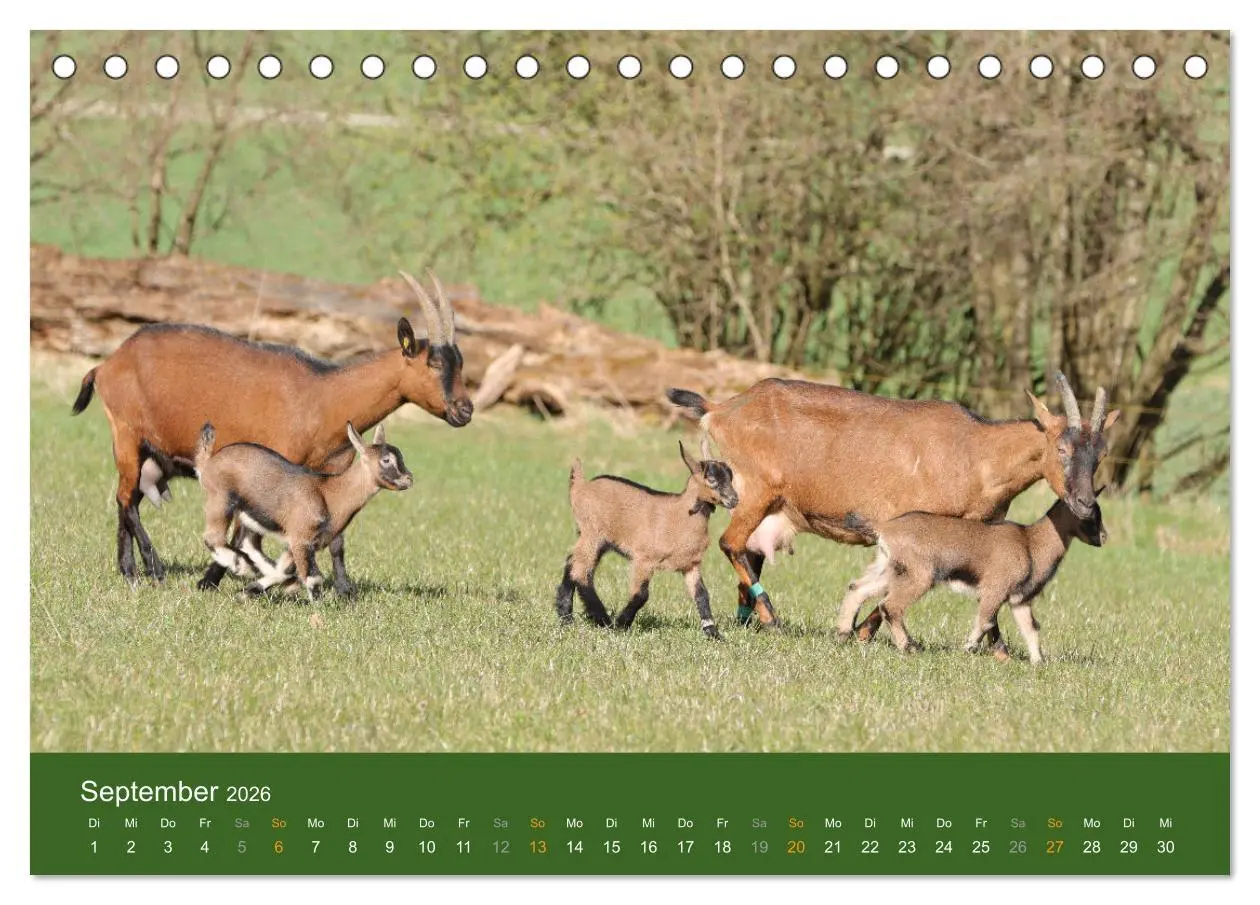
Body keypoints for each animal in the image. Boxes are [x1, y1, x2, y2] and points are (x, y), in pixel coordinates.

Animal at [194, 421, 412, 599]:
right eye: (386, 460)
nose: (408, 479)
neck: (330, 493)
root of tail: (208, 462)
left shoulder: (303, 542)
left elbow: (285, 570)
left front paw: (249, 591)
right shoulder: (301, 537)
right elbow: (313, 578)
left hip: (251, 518)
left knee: (250, 543)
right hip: (220, 501)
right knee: (213, 537)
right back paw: (241, 564)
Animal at [555, 440, 739, 639]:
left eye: (730, 477)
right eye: (711, 480)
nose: (734, 499)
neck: (680, 515)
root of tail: (581, 487)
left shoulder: (691, 565)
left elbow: (702, 594)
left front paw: (713, 633)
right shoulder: (644, 559)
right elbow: (641, 595)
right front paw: (621, 625)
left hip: (595, 539)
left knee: (572, 562)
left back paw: (566, 616)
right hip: (593, 534)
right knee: (581, 571)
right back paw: (602, 619)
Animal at [666, 373, 1118, 630]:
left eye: (1101, 454)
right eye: (1061, 447)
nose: (1084, 502)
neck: (975, 450)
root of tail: (720, 409)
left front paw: (858, 633)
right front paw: (864, 633)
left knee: (749, 550)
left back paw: (750, 622)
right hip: (756, 492)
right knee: (730, 543)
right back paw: (771, 618)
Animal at [837, 497, 1107, 663]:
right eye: (1089, 516)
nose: (1103, 537)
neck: (1030, 542)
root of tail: (885, 529)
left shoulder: (1019, 600)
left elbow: (1030, 628)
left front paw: (1038, 662)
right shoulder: (994, 589)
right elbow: (985, 621)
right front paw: (966, 650)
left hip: (889, 569)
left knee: (857, 588)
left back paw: (842, 635)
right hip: (919, 575)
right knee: (890, 605)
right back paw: (909, 647)